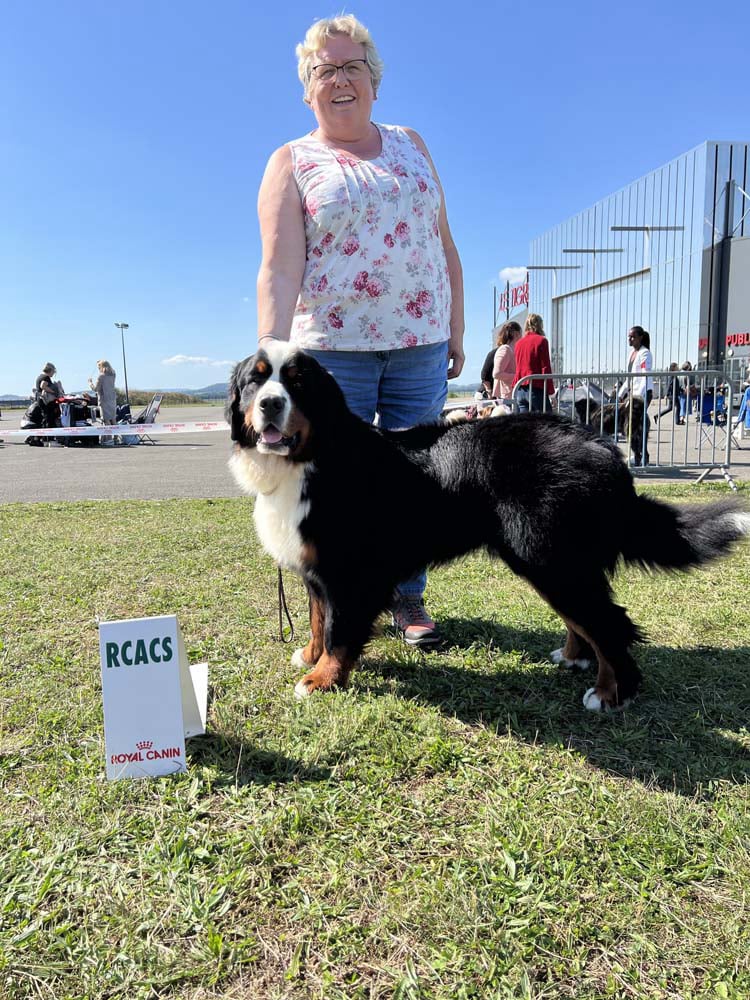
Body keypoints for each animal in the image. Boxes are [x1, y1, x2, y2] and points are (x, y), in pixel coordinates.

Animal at [227, 343, 749, 711]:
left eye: (297, 384)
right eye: (256, 382)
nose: (270, 404)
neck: (313, 456)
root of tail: (598, 442)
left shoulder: (351, 575)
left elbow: (338, 632)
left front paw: (321, 679)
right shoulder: (318, 573)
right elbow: (318, 620)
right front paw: (309, 655)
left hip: (549, 558)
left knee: (610, 624)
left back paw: (611, 693)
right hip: (549, 562)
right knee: (586, 620)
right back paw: (575, 658)